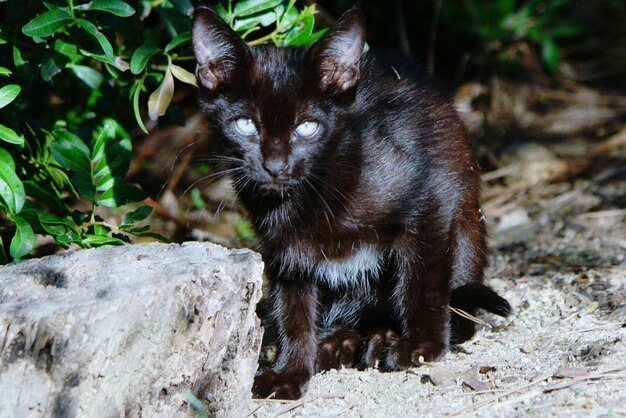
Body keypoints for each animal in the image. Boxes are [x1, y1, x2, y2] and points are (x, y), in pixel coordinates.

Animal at [190, 5, 508, 398]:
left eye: (307, 127)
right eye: (246, 124)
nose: (275, 166)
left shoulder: (431, 199)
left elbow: (423, 281)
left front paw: (422, 345)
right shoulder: (287, 252)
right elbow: (292, 312)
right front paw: (289, 371)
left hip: (464, 222)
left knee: (461, 311)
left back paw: (383, 336)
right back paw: (337, 342)